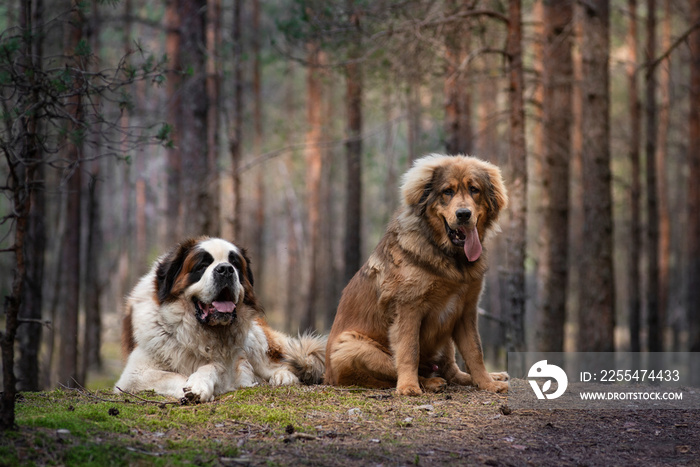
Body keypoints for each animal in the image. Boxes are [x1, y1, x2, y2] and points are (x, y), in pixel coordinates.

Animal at [114, 238, 326, 402]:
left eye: (235, 264)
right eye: (202, 266)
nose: (225, 269)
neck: (194, 332)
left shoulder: (230, 364)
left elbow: (214, 366)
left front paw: (198, 384)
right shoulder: (132, 375)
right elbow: (169, 375)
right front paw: (190, 386)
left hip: (255, 340)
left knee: (280, 364)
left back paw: (283, 377)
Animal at [322, 155, 508, 396]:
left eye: (474, 189)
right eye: (447, 192)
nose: (463, 214)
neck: (448, 257)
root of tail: (326, 376)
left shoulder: (466, 310)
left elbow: (475, 351)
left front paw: (487, 383)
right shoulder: (409, 308)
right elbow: (409, 350)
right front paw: (409, 387)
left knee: (451, 369)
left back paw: (487, 376)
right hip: (351, 346)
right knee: (395, 370)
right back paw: (428, 382)